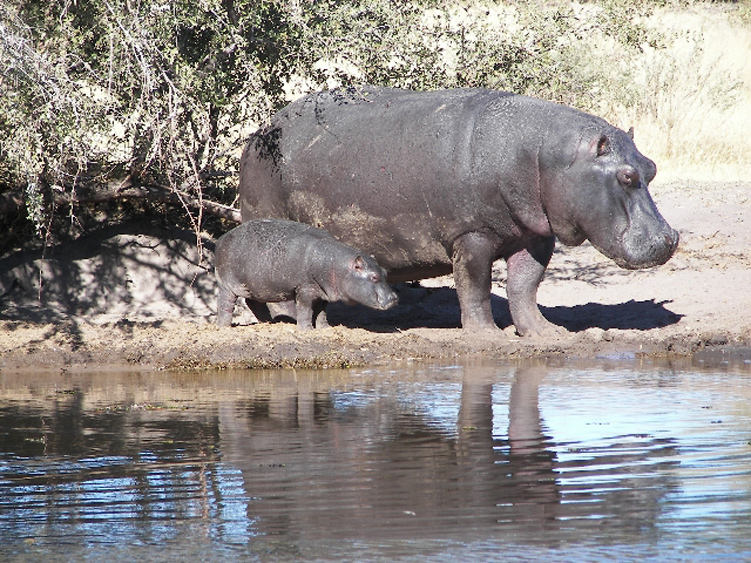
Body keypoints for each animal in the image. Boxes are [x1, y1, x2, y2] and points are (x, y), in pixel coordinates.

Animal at [214, 218, 397, 330]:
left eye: (385, 272)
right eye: (374, 277)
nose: (394, 298)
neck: (337, 264)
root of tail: (222, 238)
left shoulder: (324, 292)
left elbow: (322, 312)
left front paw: (325, 328)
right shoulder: (305, 289)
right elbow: (306, 309)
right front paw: (306, 329)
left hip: (256, 286)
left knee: (253, 303)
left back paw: (269, 322)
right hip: (226, 284)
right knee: (225, 304)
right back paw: (224, 326)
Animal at [239, 86, 678, 335]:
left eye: (651, 167)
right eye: (625, 176)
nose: (669, 239)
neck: (545, 156)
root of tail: (257, 133)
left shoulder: (536, 236)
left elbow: (524, 288)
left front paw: (546, 332)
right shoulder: (471, 236)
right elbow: (475, 287)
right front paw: (487, 335)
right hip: (269, 225)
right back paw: (288, 321)